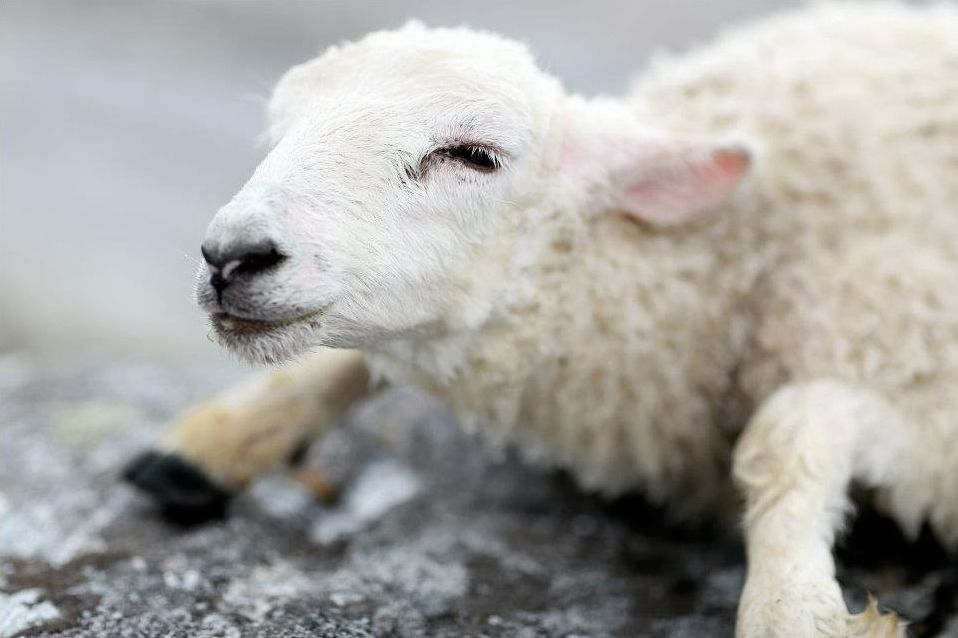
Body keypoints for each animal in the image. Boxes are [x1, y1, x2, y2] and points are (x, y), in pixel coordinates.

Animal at [123, 3, 958, 636]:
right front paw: (217, 440)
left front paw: (799, 611)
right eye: (277, 133)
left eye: (474, 155)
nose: (231, 257)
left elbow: (788, 425)